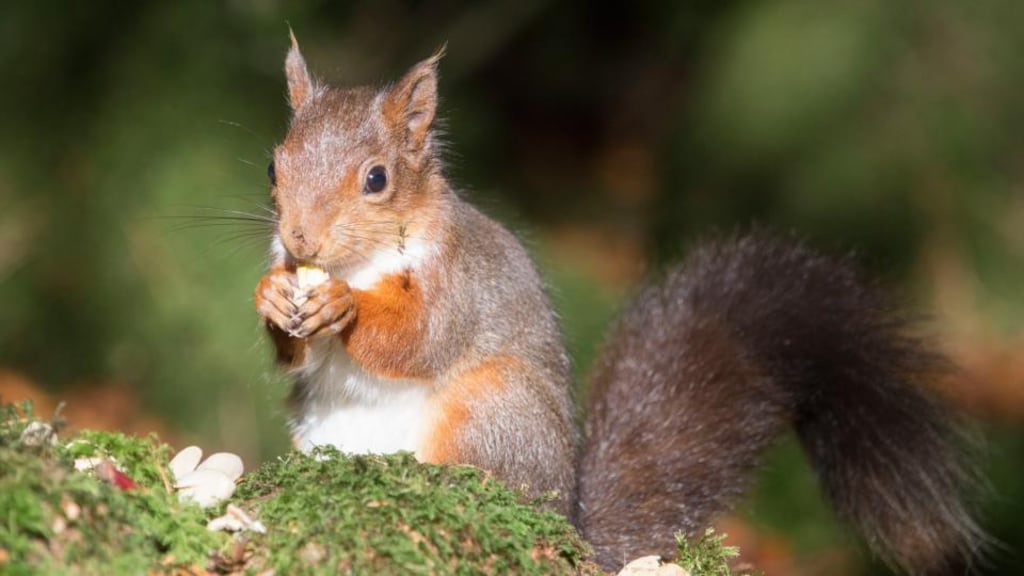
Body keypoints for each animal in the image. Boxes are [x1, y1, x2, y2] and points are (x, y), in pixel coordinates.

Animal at [253, 34, 984, 574]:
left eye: (377, 179)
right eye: (272, 166)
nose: (300, 239)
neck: (361, 262)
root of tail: (572, 524)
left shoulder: (457, 283)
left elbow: (419, 337)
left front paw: (344, 305)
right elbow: (293, 355)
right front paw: (272, 297)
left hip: (493, 411)